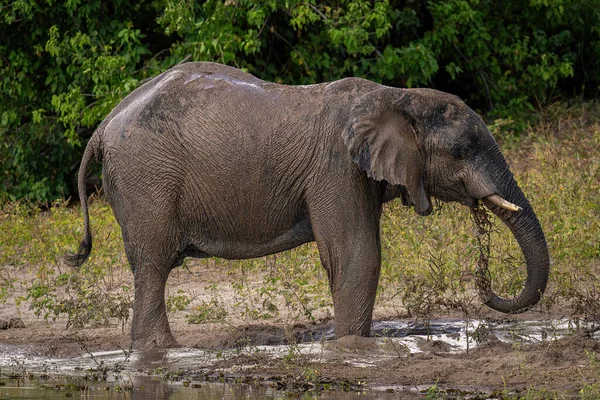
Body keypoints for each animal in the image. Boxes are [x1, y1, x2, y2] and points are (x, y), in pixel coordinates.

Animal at [68, 61, 552, 350]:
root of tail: (104, 124)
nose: (485, 287)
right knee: (154, 265)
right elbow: (358, 255)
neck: (395, 96)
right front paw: (352, 350)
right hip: (146, 180)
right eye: (463, 149)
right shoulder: (336, 169)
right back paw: (163, 352)